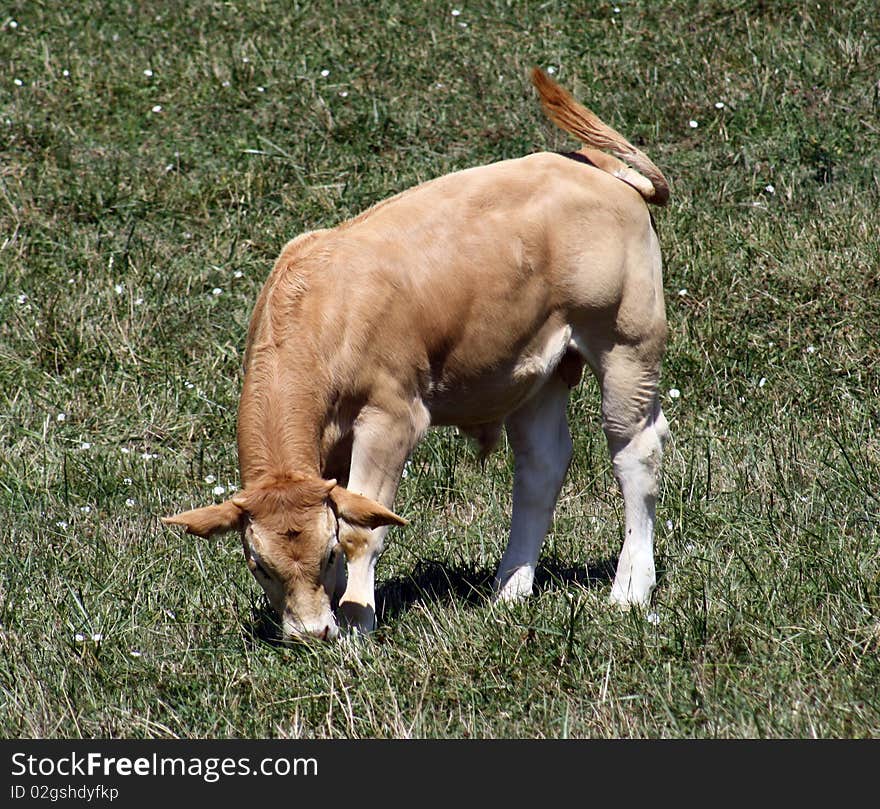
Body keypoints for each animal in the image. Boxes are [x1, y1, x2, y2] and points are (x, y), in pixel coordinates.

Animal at [162, 68, 672, 636]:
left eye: (327, 553)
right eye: (259, 564)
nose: (310, 634)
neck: (322, 306)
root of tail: (598, 168)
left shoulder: (391, 418)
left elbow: (365, 528)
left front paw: (355, 622)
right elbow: (351, 507)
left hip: (626, 342)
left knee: (636, 451)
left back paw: (630, 590)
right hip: (537, 370)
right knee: (542, 466)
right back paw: (509, 591)